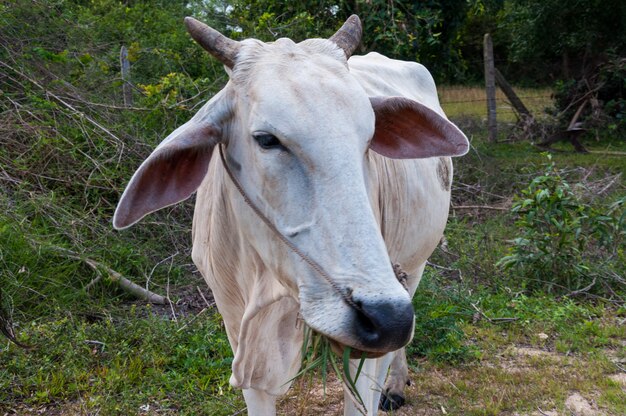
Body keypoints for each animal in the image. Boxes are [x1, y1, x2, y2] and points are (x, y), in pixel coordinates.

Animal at [112, 15, 466, 416]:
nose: (387, 319)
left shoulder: (367, 349)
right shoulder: (239, 333)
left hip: (414, 266)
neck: (269, 284)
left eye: (370, 137)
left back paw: (394, 384)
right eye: (267, 139)